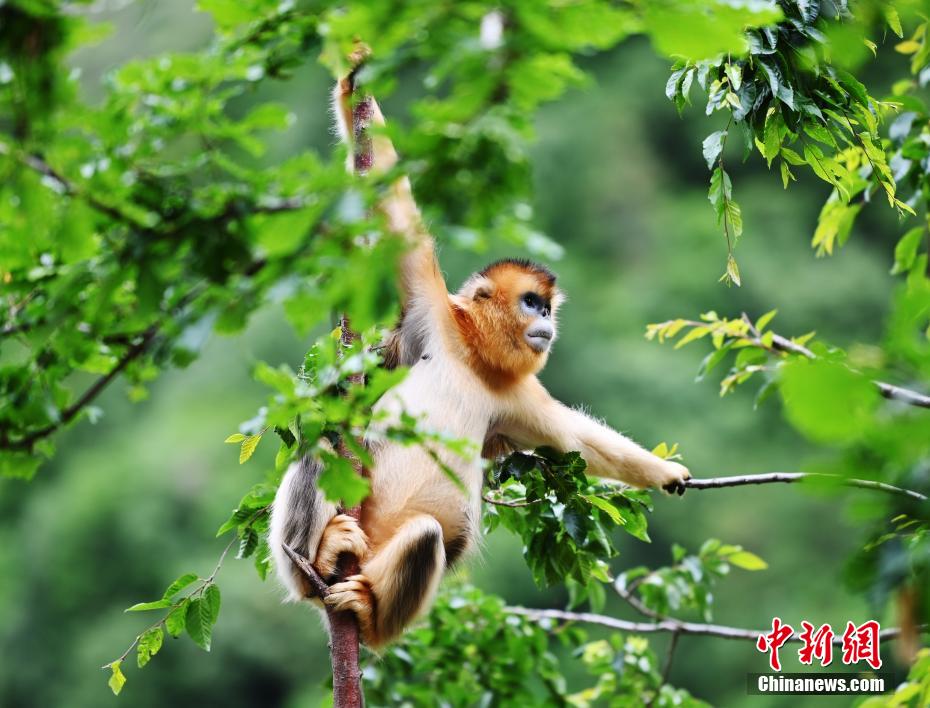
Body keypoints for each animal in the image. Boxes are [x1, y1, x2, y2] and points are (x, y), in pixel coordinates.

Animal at [267, 68, 691, 650]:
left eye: (547, 307)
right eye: (532, 303)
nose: (548, 322)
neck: (471, 356)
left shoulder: (514, 395)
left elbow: (575, 442)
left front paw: (666, 473)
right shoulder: (432, 313)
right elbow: (395, 203)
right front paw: (354, 77)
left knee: (427, 539)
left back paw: (368, 613)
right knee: (325, 448)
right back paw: (320, 557)